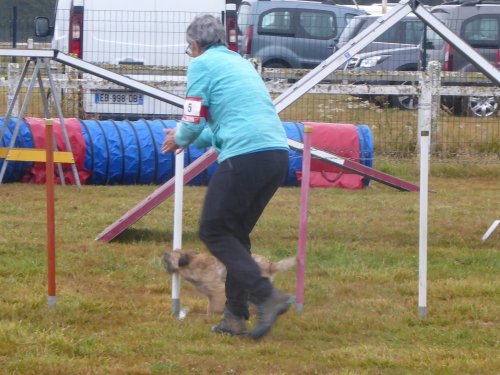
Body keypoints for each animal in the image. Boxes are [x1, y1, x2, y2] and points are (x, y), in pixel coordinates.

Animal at [163, 251, 296, 316]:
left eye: (170, 255)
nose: (164, 253)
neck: (196, 263)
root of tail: (269, 264)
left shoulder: (218, 291)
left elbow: (213, 308)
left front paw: (210, 317)